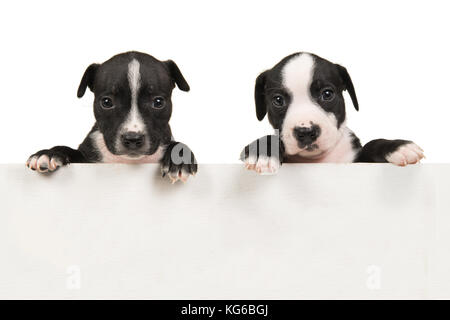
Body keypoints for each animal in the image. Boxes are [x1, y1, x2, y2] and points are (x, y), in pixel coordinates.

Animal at [26, 51, 197, 184]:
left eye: (158, 102)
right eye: (107, 102)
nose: (133, 138)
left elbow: (178, 144)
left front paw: (180, 159)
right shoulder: (86, 159)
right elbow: (70, 150)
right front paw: (49, 153)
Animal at [241, 52, 424, 174]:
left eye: (327, 94)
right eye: (278, 100)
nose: (305, 132)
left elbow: (371, 144)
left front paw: (397, 147)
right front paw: (262, 151)